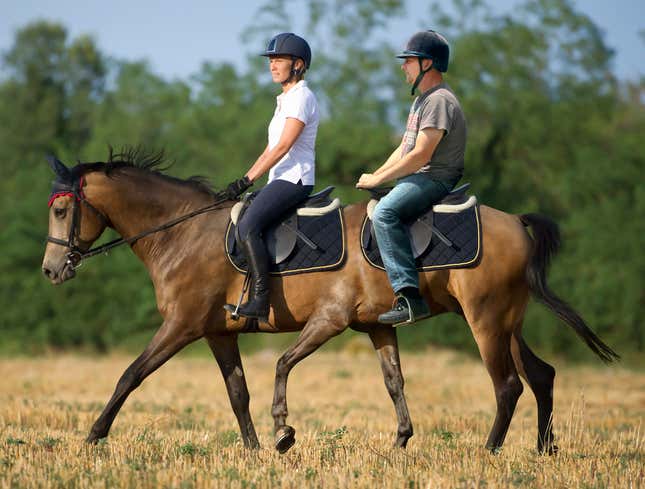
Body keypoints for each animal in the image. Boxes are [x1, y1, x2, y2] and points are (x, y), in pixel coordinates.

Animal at [42, 148, 616, 454]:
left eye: (61, 210)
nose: (51, 270)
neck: (184, 233)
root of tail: (514, 221)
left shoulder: (187, 326)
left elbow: (132, 375)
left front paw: (93, 436)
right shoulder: (219, 332)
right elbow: (239, 393)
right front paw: (256, 449)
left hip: (486, 321)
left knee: (508, 385)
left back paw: (491, 452)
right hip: (507, 322)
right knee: (541, 375)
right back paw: (544, 449)